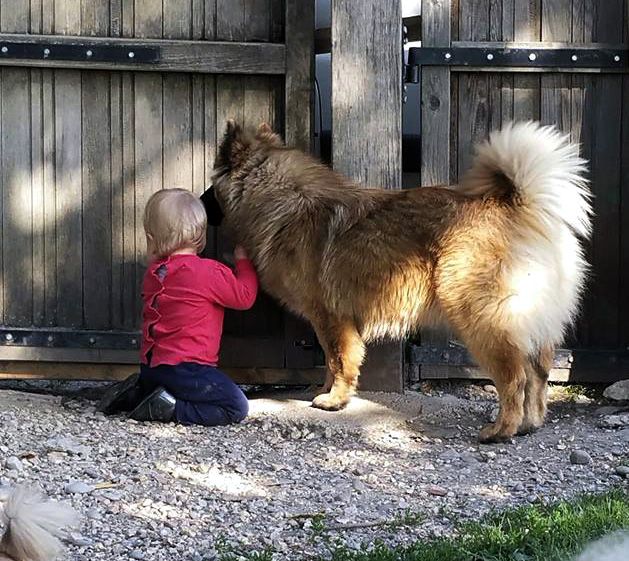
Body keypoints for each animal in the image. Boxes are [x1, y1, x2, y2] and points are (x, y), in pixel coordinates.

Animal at [205, 119, 588, 442]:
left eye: (211, 185)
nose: (199, 199)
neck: (284, 200)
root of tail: (520, 205)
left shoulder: (330, 316)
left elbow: (339, 360)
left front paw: (334, 400)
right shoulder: (333, 320)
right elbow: (332, 361)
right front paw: (328, 392)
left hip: (481, 317)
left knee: (514, 378)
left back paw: (501, 430)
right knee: (538, 374)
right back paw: (530, 423)